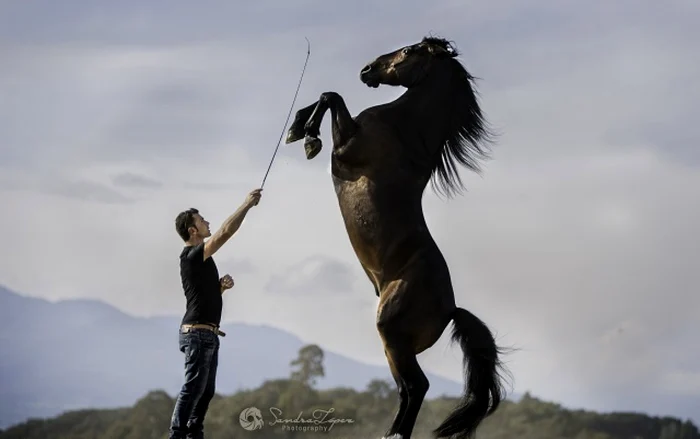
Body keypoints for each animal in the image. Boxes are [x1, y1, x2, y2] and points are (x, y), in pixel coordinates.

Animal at [284, 36, 508, 438]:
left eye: (409, 51)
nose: (366, 70)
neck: (404, 132)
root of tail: (451, 309)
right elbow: (327, 95)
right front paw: (297, 126)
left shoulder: (347, 147)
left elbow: (331, 96)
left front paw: (307, 137)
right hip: (394, 346)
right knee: (407, 388)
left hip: (391, 332)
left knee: (417, 386)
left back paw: (395, 433)